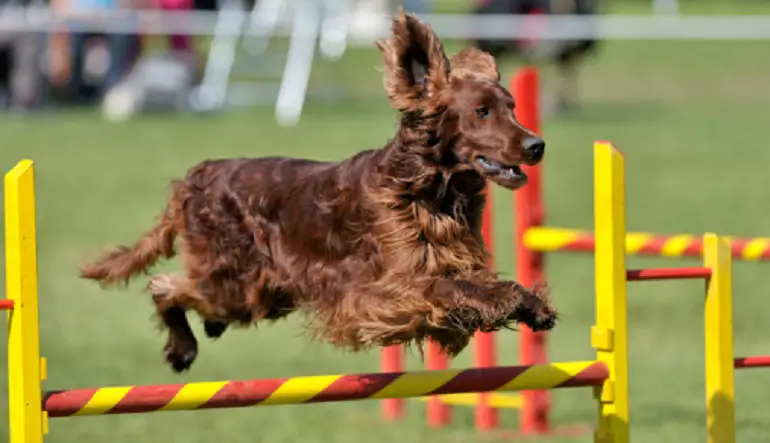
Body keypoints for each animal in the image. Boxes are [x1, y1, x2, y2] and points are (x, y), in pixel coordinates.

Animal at [81, 10, 556, 372]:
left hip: (258, 294)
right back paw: (181, 349)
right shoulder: (385, 292)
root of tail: (197, 176)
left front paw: (532, 303)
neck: (428, 193)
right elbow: (452, 290)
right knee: (164, 284)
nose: (537, 145)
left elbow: (480, 285)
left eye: (513, 107)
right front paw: (510, 300)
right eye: (481, 111)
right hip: (233, 283)